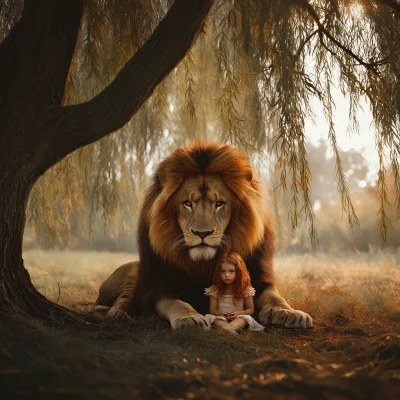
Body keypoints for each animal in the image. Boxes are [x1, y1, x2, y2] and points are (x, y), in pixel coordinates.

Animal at [94, 143, 312, 328]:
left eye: (219, 204)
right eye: (188, 203)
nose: (202, 233)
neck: (204, 263)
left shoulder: (259, 279)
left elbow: (274, 296)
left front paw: (288, 313)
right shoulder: (161, 287)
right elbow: (176, 304)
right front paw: (189, 318)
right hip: (133, 272)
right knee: (116, 302)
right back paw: (118, 314)